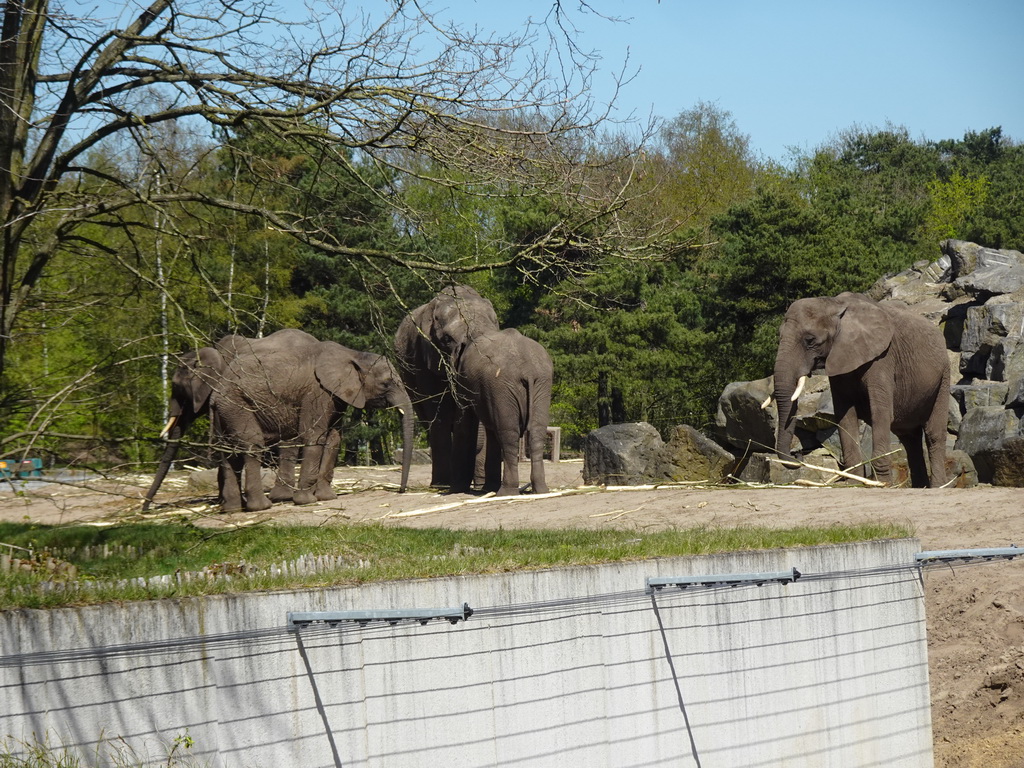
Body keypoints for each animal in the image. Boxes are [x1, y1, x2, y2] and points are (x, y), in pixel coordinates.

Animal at [211, 329, 411, 512]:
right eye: (386, 383)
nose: (401, 490)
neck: (352, 354)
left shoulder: (336, 394)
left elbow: (334, 438)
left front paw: (327, 498)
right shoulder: (317, 391)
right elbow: (314, 436)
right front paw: (307, 501)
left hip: (224, 410)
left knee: (228, 451)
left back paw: (233, 509)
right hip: (236, 404)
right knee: (253, 443)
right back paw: (261, 507)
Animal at [456, 327, 552, 495]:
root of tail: (528, 370)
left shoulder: (463, 382)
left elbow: (465, 424)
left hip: (503, 386)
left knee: (508, 434)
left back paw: (506, 492)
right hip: (541, 383)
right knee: (536, 432)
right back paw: (541, 490)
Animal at [770, 290, 950, 489]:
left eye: (809, 340)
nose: (798, 454)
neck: (834, 304)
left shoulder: (883, 358)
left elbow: (881, 414)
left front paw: (882, 484)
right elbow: (845, 417)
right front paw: (853, 482)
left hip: (943, 375)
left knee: (933, 434)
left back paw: (938, 486)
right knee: (909, 437)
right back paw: (920, 486)